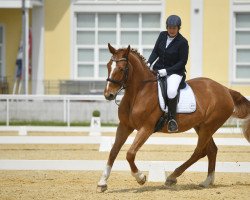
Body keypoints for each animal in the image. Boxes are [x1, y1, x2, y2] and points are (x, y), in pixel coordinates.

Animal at [96, 43, 250, 192]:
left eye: (122, 69)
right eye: (108, 66)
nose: (108, 95)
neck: (138, 93)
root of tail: (225, 90)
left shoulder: (146, 128)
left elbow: (130, 153)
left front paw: (140, 178)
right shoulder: (124, 126)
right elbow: (113, 152)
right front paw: (102, 183)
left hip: (209, 126)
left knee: (199, 151)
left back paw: (172, 177)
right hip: (200, 126)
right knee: (211, 150)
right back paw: (207, 181)